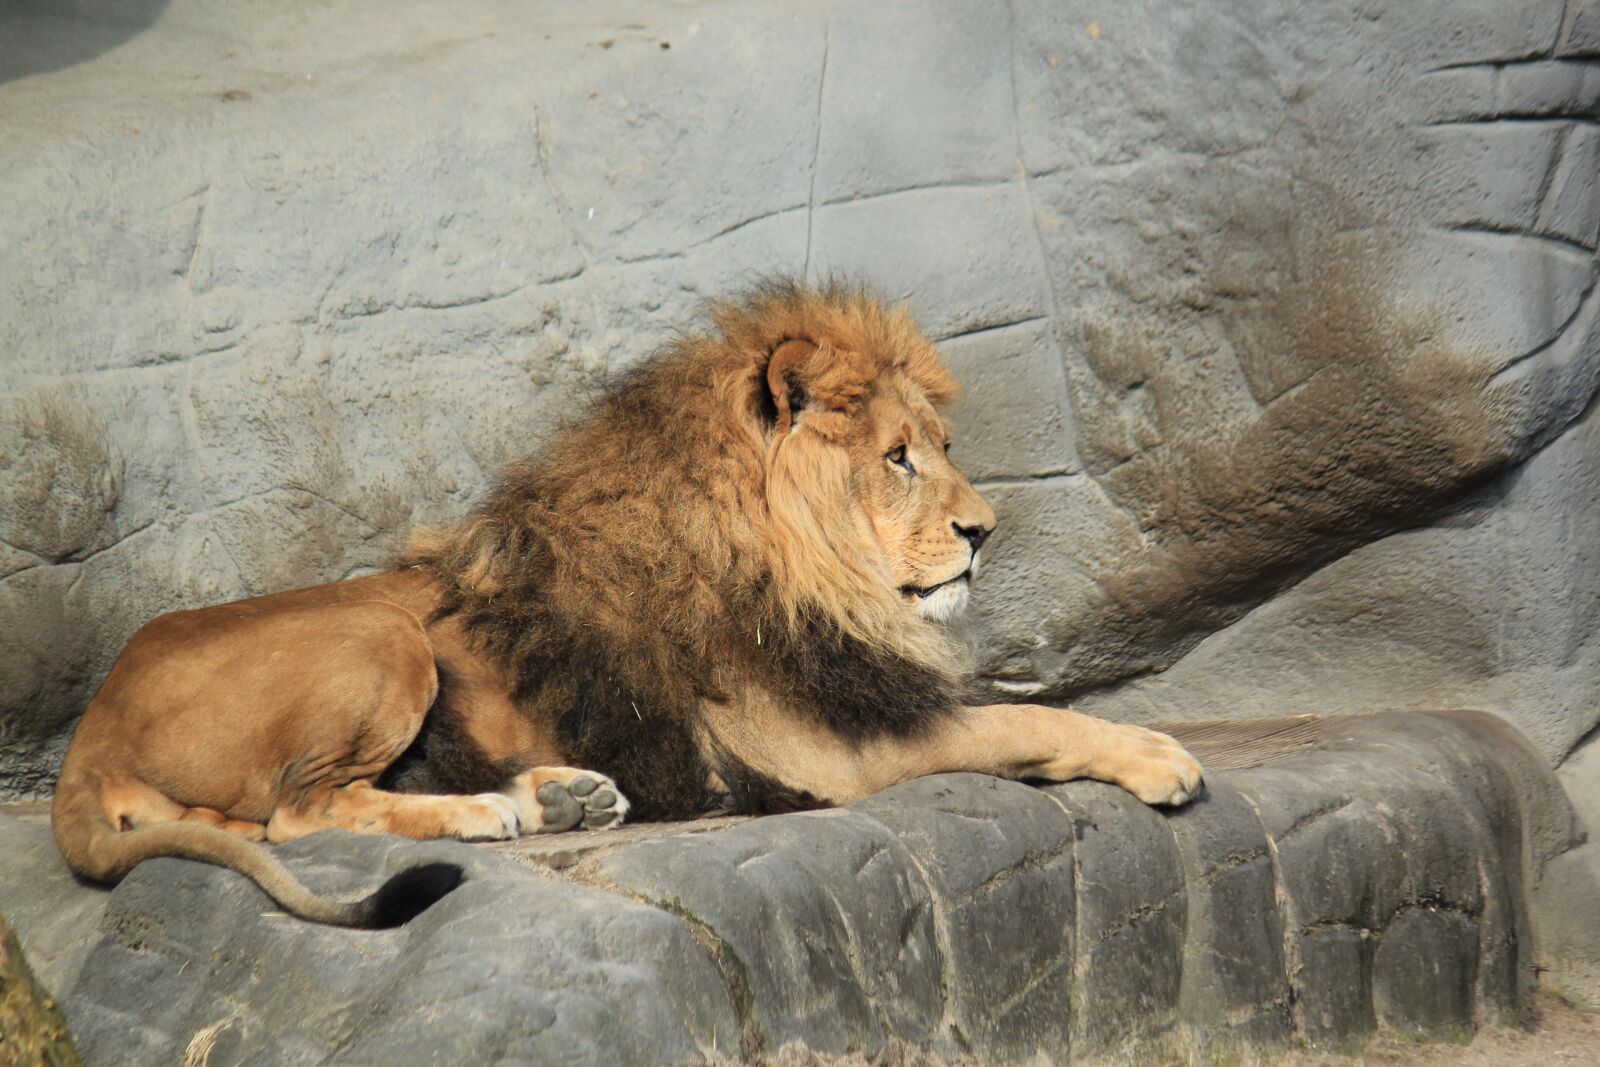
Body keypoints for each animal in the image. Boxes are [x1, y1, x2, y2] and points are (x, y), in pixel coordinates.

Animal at [51, 280, 1202, 925]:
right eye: (897, 458)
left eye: (944, 446)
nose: (985, 530)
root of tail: (88, 730)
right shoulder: (827, 749)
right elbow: (1022, 719)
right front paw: (1160, 755)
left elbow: (1023, 706)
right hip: (380, 631)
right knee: (299, 810)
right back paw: (495, 808)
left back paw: (561, 796)